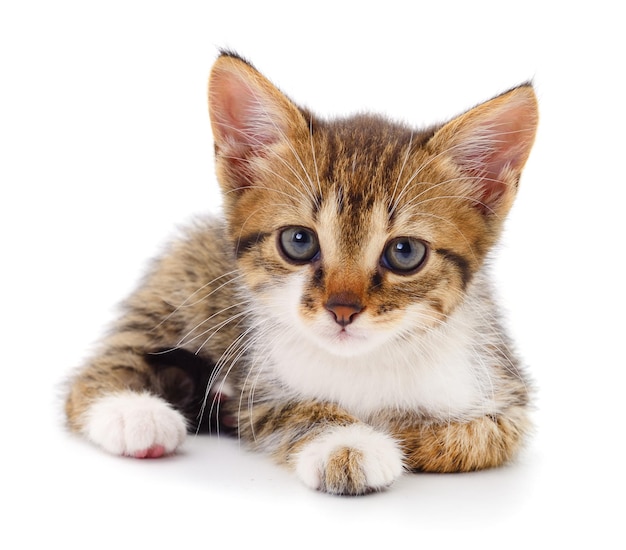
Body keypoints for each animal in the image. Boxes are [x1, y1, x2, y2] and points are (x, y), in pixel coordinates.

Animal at [66, 51, 540, 498]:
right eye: (299, 242)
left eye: (405, 252)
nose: (342, 309)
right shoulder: (259, 386)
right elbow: (285, 410)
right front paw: (348, 442)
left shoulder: (505, 395)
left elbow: (481, 438)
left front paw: (396, 430)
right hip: (184, 275)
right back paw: (131, 412)